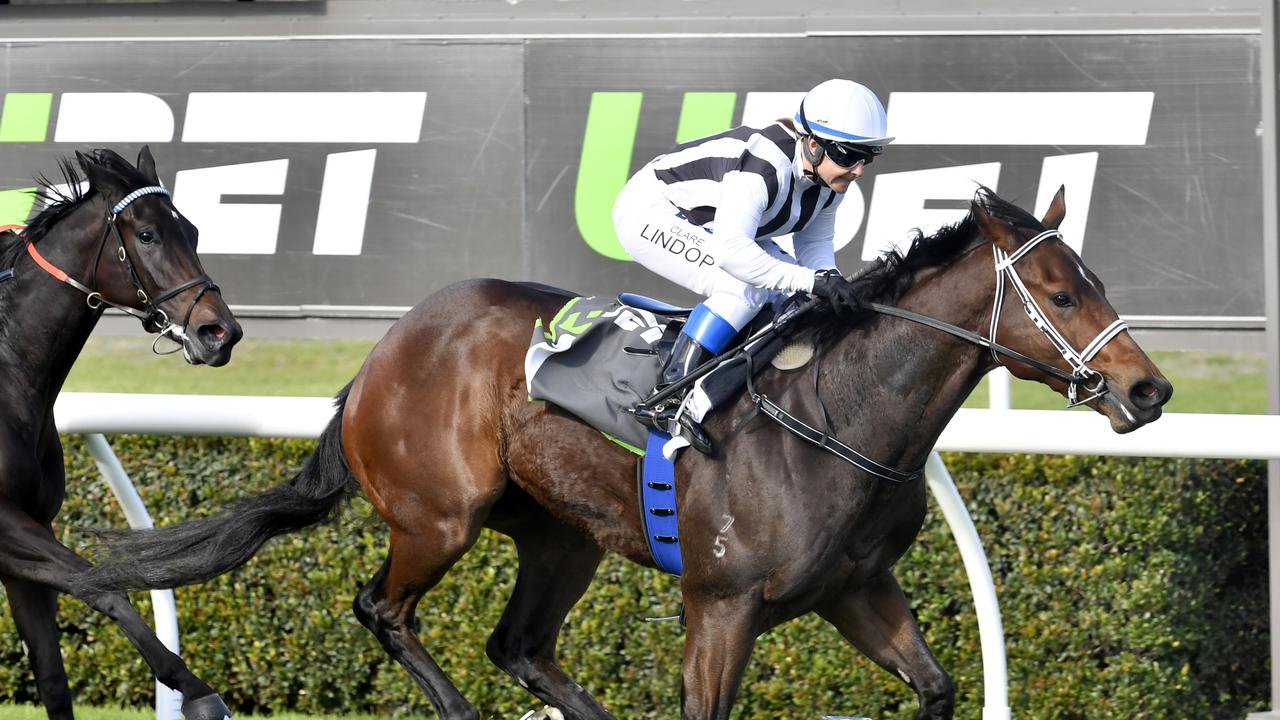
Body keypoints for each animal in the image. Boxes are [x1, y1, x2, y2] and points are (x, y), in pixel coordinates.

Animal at [0, 148, 241, 712]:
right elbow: (99, 583)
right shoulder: (3, 524)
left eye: (192, 231)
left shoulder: (30, 530)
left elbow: (52, 676)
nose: (221, 332)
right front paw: (195, 691)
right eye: (148, 235)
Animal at [70, 185, 1172, 717]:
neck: (838, 413)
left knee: (519, 645)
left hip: (563, 537)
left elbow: (939, 688)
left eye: (1098, 281)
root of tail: (387, 347)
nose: (1148, 390)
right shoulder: (721, 605)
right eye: (1062, 292)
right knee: (383, 610)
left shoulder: (855, 589)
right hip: (439, 516)